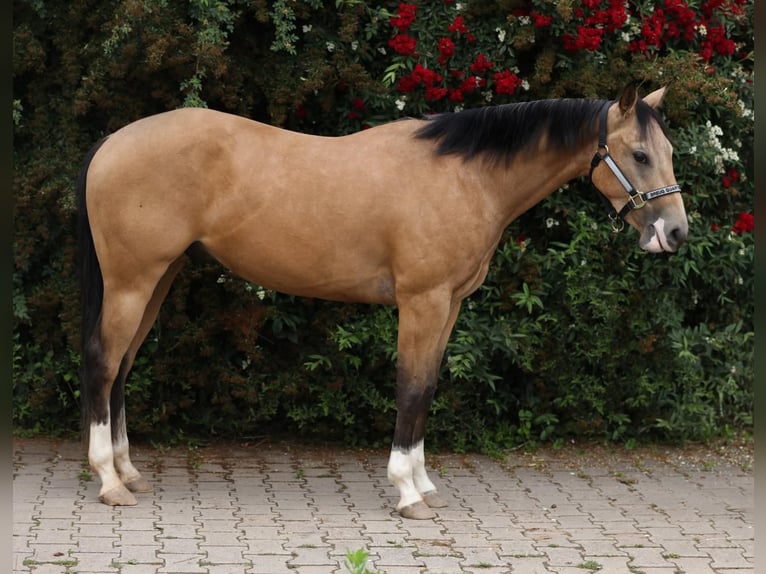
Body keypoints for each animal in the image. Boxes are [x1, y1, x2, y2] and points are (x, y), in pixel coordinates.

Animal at [77, 84, 687, 519]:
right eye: (638, 154)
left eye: (668, 152)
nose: (675, 233)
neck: (464, 177)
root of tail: (110, 143)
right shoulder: (422, 301)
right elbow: (411, 386)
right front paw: (406, 492)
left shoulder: (449, 306)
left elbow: (429, 387)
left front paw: (424, 484)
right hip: (133, 280)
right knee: (104, 363)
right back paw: (109, 481)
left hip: (159, 278)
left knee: (124, 366)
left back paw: (129, 472)